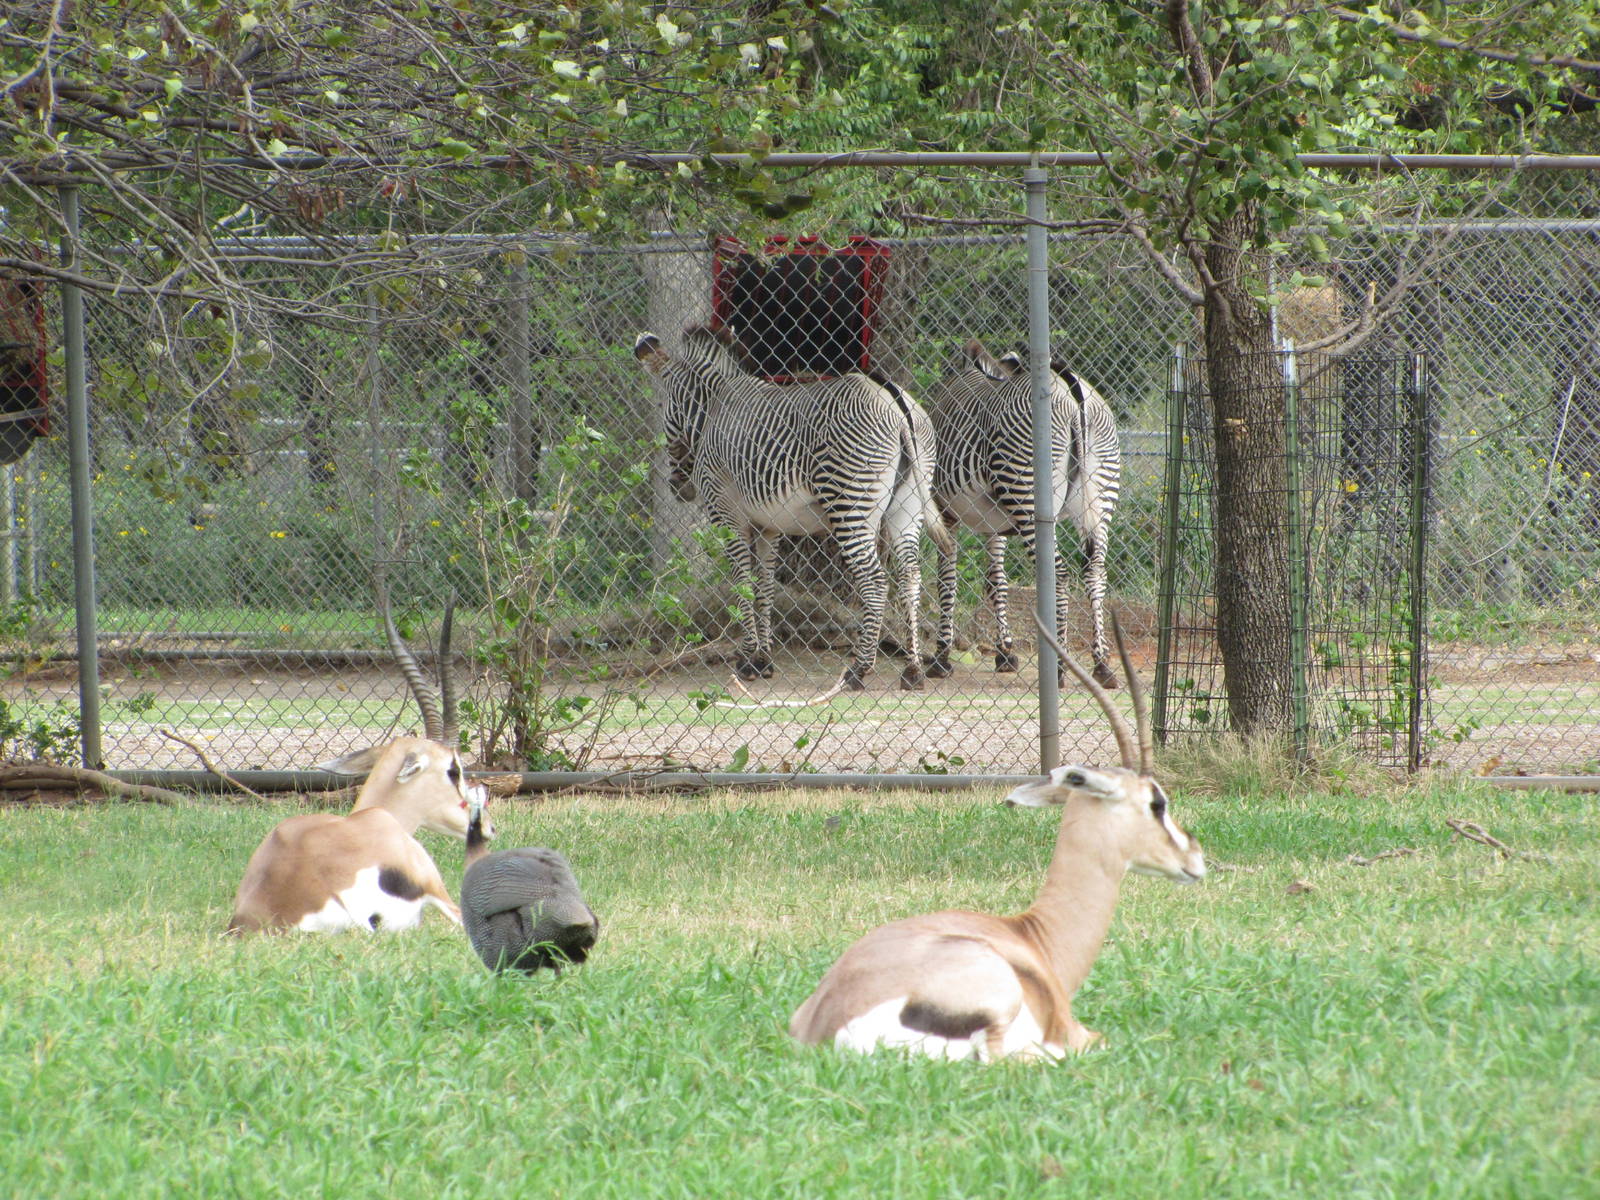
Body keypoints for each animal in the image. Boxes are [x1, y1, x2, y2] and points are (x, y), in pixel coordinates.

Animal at [633, 325, 952, 691]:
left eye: (663, 405)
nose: (678, 487)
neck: (713, 410)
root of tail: (894, 401)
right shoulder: (768, 526)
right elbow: (765, 587)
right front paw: (763, 660)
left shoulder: (726, 514)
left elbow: (742, 580)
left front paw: (747, 662)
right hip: (907, 505)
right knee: (910, 575)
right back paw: (912, 671)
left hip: (850, 504)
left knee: (875, 580)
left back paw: (858, 671)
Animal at [925, 339, 1122, 688]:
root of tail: (1071, 388)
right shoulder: (994, 526)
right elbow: (996, 581)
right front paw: (1005, 652)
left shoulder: (945, 512)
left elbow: (946, 580)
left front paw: (941, 657)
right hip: (1101, 494)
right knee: (1096, 571)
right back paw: (1102, 665)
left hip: (1027, 494)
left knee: (1059, 574)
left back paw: (1059, 667)